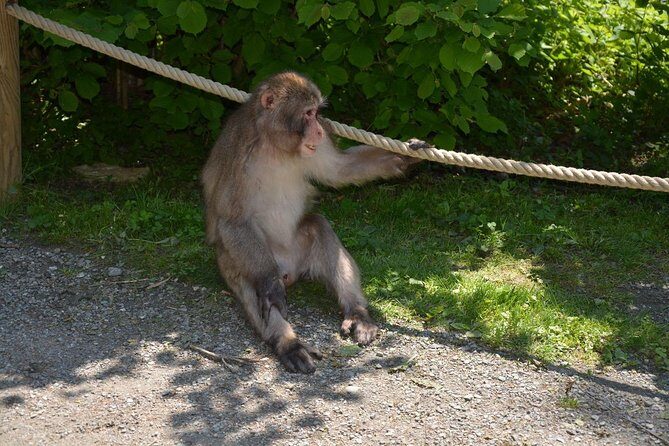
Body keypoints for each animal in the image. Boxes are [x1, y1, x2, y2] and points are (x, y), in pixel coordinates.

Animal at [202, 72, 420, 374]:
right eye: (308, 113)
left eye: (317, 113)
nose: (319, 129)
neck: (274, 144)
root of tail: (289, 271)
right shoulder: (237, 150)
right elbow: (232, 220)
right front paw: (270, 285)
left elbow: (340, 170)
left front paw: (407, 156)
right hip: (235, 259)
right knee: (252, 283)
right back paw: (288, 342)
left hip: (300, 250)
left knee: (318, 225)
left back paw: (357, 314)